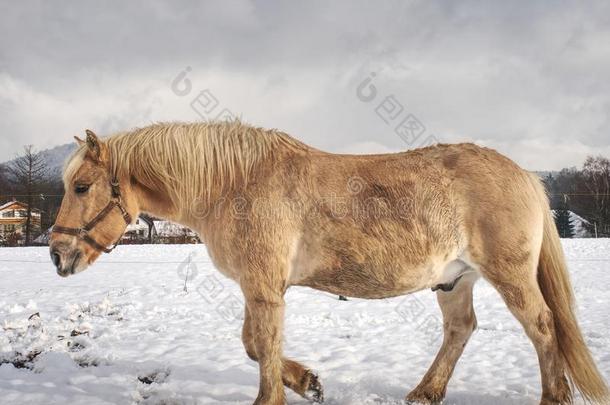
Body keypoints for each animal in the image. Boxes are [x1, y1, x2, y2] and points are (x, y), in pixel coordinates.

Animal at [50, 120, 604, 404]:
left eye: (81, 187)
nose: (57, 254)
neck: (235, 184)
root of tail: (525, 174)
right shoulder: (261, 287)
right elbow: (253, 345)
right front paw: (308, 382)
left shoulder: (264, 287)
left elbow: (263, 346)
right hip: (454, 280)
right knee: (461, 329)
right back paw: (425, 392)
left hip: (509, 276)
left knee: (543, 327)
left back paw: (553, 398)